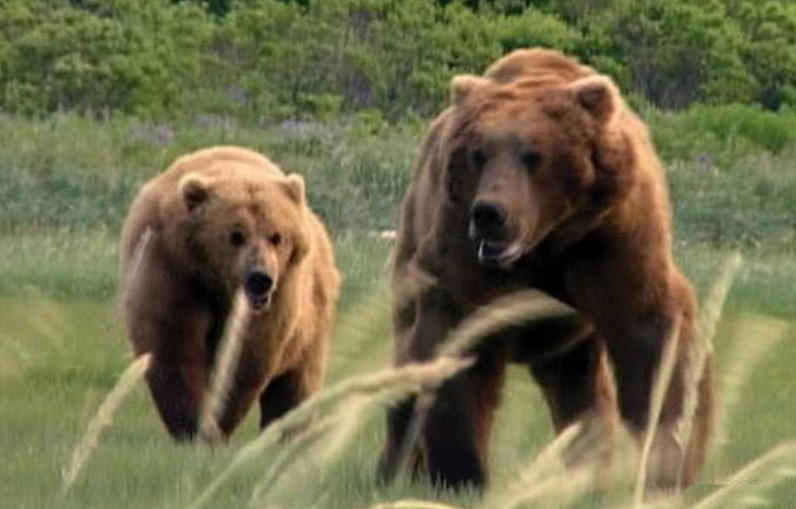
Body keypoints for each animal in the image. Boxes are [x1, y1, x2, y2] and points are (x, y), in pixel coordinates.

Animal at [120, 145, 338, 438]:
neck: (219, 284)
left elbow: (244, 357)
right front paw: (191, 424)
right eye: (235, 235)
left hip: (310, 321)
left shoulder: (277, 299)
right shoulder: (174, 271)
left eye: (276, 236)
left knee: (297, 382)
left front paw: (217, 421)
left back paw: (289, 429)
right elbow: (173, 345)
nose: (260, 278)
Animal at [380, 49, 716, 494]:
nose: (490, 213)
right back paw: (394, 469)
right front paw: (461, 474)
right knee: (405, 366)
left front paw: (669, 461)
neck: (546, 241)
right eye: (479, 154)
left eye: (533, 155)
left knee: (581, 390)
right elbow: (458, 346)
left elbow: (652, 334)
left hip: (569, 340)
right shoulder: (465, 257)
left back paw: (589, 470)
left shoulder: (613, 239)